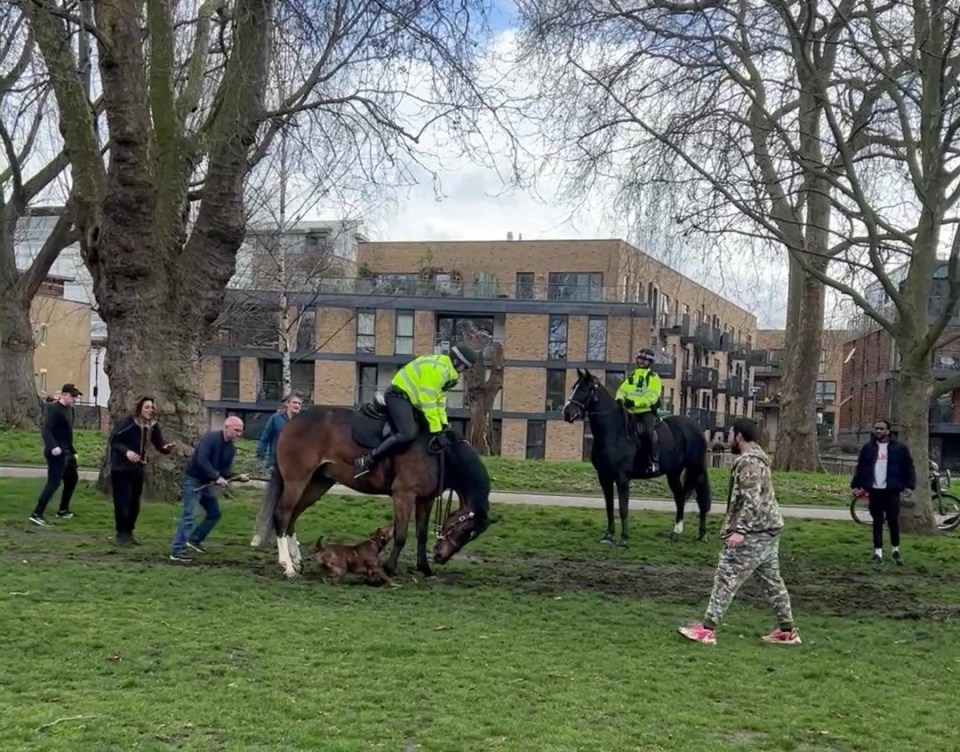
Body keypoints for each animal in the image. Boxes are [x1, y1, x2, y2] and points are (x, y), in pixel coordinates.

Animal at [251, 400, 492, 580]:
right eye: (463, 530)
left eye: (470, 535)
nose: (441, 556)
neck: (438, 454)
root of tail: (292, 422)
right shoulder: (404, 495)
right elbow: (401, 535)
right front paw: (389, 568)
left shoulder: (425, 499)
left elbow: (421, 535)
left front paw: (424, 568)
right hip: (296, 480)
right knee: (282, 516)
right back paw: (288, 566)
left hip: (317, 483)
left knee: (292, 517)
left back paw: (297, 561)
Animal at [560, 368, 708, 544]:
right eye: (574, 387)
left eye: (583, 389)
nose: (567, 413)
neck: (613, 433)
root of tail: (696, 427)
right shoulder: (604, 477)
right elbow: (609, 507)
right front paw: (608, 535)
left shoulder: (622, 478)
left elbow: (623, 508)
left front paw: (624, 539)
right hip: (673, 473)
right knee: (680, 497)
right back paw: (676, 532)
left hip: (696, 469)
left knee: (702, 500)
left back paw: (702, 535)